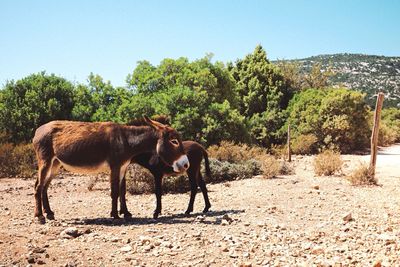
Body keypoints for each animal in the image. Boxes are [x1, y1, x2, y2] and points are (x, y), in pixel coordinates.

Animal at [32, 117, 188, 224]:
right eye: (174, 141)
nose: (186, 164)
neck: (126, 140)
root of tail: (38, 130)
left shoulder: (123, 167)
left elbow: (122, 191)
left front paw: (126, 213)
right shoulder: (115, 166)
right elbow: (114, 192)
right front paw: (115, 215)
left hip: (55, 164)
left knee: (44, 186)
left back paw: (49, 213)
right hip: (45, 160)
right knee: (38, 187)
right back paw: (40, 216)